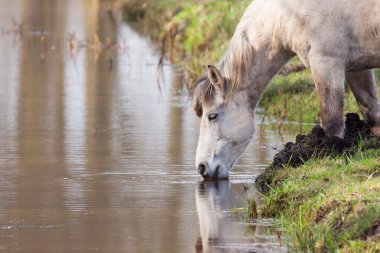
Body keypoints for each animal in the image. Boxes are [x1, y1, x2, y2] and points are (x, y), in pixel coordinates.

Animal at [193, 0, 380, 179]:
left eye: (212, 116)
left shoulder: (326, 64)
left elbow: (332, 121)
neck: (288, 12)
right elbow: (371, 112)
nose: (202, 167)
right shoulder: (356, 68)